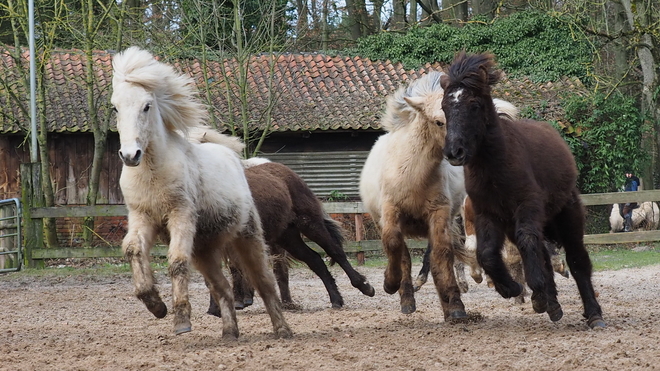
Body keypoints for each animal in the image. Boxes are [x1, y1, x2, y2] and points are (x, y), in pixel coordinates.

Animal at [111, 47, 292, 340]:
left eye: (147, 106)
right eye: (115, 107)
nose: (130, 155)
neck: (153, 173)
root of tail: (232, 157)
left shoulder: (180, 215)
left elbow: (176, 262)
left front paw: (181, 321)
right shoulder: (142, 217)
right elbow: (133, 250)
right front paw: (156, 305)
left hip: (247, 236)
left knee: (263, 282)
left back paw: (283, 329)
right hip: (205, 250)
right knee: (222, 288)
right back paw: (229, 332)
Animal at [210, 161, 376, 316]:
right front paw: (216, 309)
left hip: (310, 224)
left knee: (335, 252)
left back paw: (364, 286)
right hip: (287, 237)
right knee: (315, 260)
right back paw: (336, 300)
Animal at [440, 51, 604, 328]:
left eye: (474, 105)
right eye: (444, 108)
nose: (454, 152)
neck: (496, 169)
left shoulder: (527, 207)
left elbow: (529, 245)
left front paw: (536, 290)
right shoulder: (488, 214)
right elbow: (487, 254)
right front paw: (512, 288)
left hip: (567, 216)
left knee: (577, 259)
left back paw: (593, 313)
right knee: (542, 254)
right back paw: (551, 304)